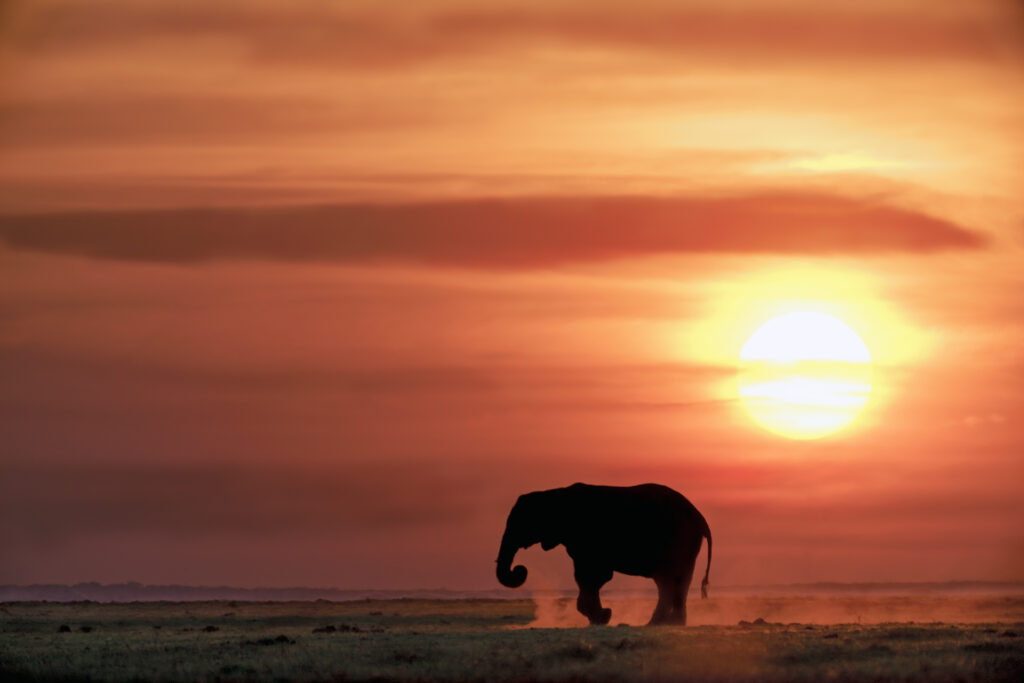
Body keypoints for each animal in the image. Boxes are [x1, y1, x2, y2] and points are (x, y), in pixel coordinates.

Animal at [495, 481, 712, 626]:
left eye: (520, 523)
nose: (520, 569)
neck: (553, 494)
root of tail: (699, 517)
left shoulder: (586, 539)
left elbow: (591, 576)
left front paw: (602, 618)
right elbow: (591, 577)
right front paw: (602, 617)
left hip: (675, 539)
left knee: (666, 580)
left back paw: (656, 624)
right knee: (679, 581)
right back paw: (673, 624)